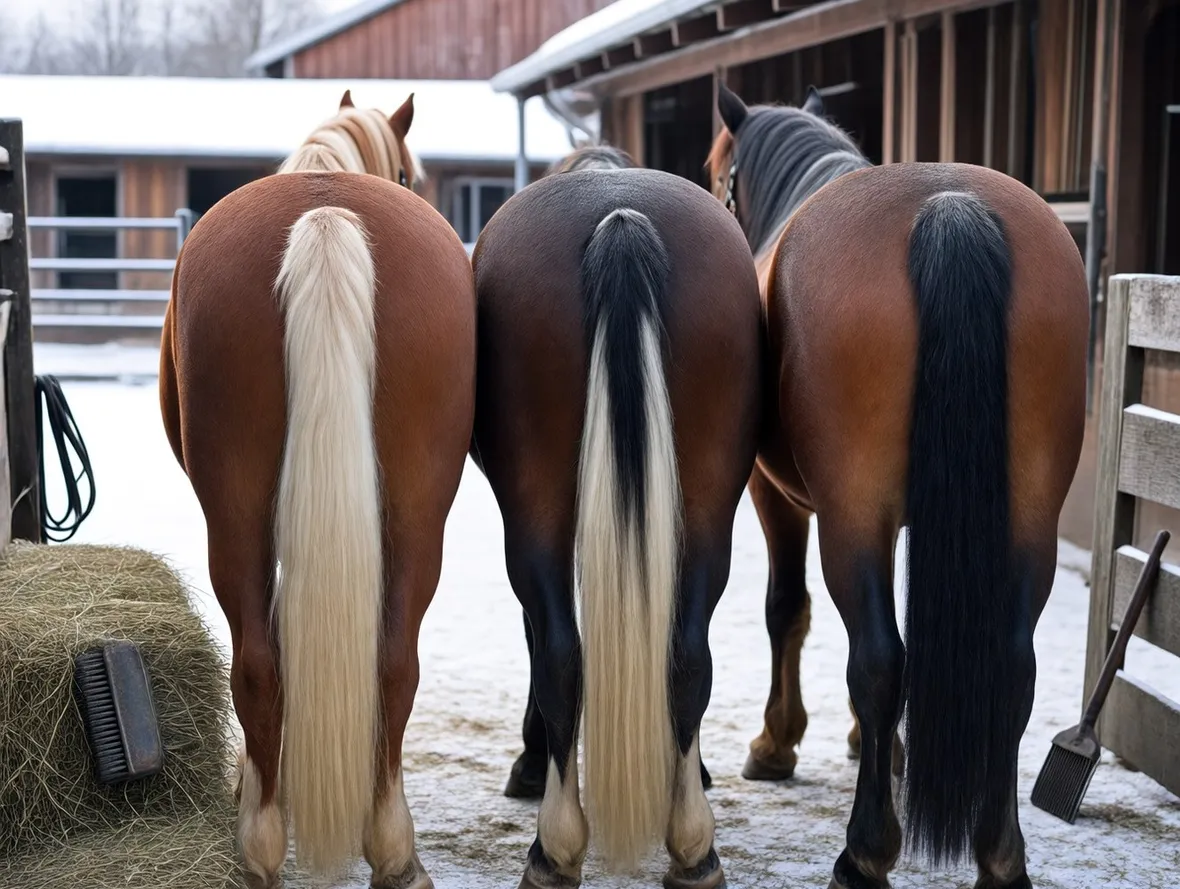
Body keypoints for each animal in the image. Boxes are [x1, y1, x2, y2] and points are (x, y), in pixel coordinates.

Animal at [159, 90, 475, 889]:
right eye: (412, 170)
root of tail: (325, 216)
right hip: (414, 513)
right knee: (383, 664)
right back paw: (387, 850)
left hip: (241, 514)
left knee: (269, 663)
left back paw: (266, 845)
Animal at [470, 145, 762, 888]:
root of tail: (620, 219)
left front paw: (529, 763)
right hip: (709, 501)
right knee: (686, 652)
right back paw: (693, 848)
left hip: (535, 507)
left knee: (559, 654)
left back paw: (554, 848)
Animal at [706, 84, 1087, 889]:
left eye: (718, 169)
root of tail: (949, 206)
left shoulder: (777, 496)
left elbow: (787, 610)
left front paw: (777, 743)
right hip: (1028, 516)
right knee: (1012, 667)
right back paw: (1000, 854)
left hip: (851, 516)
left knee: (879, 657)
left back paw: (864, 852)